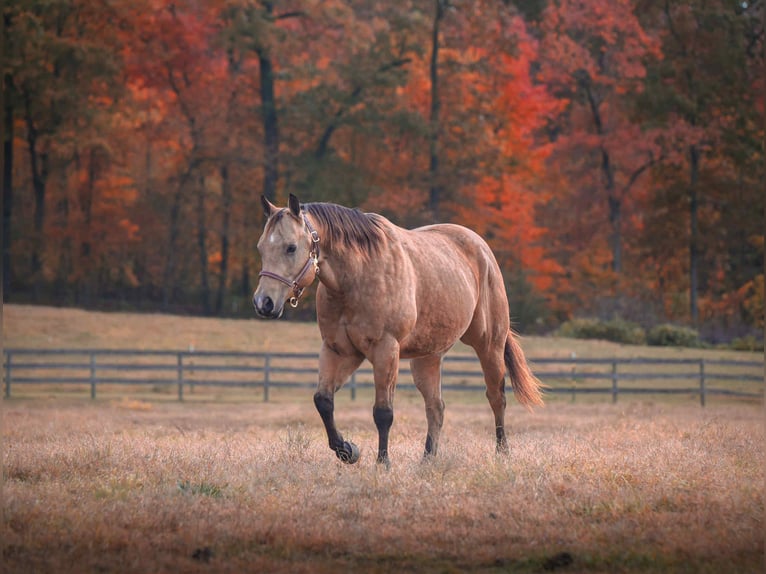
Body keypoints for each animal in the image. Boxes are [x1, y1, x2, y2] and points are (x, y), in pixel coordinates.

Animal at [253, 194, 543, 465]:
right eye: (261, 248)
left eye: (291, 248)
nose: (263, 303)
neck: (357, 277)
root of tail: (481, 248)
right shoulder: (338, 350)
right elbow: (323, 401)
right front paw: (348, 450)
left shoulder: (385, 350)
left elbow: (383, 412)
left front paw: (382, 463)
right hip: (428, 357)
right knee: (435, 407)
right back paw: (427, 461)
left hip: (489, 345)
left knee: (496, 398)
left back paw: (502, 454)